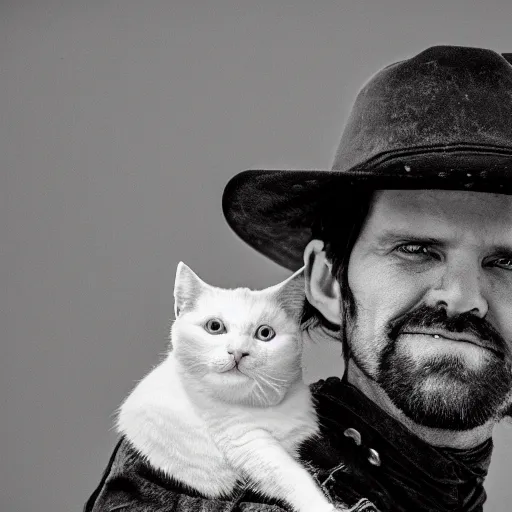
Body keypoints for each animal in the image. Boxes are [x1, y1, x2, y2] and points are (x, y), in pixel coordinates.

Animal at [117, 264, 344, 512]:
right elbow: (290, 475)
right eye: (214, 326)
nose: (238, 351)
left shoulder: (302, 433)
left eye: (265, 333)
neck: (264, 406)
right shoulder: (248, 444)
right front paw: (325, 506)